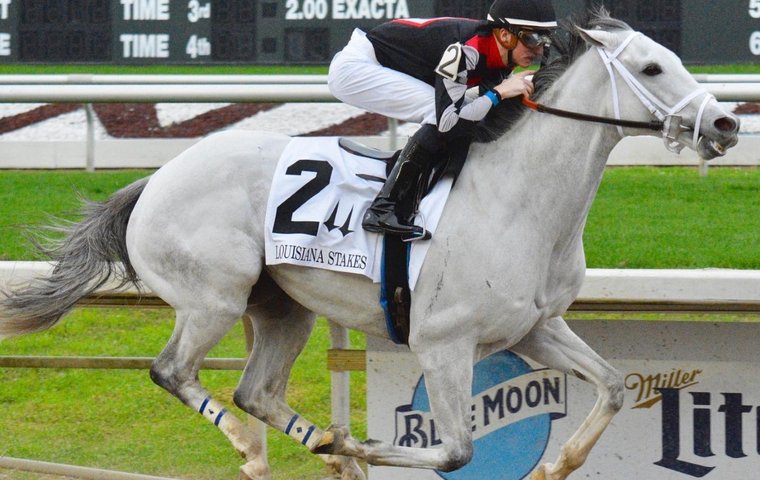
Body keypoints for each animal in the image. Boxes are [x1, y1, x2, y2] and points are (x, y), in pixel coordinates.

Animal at [0, 10, 736, 480]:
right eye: (652, 66)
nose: (726, 123)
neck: (521, 200)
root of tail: (154, 179)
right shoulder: (443, 342)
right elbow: (456, 451)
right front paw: (372, 447)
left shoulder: (535, 327)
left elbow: (612, 386)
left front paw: (555, 465)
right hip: (213, 298)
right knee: (173, 371)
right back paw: (259, 446)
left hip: (282, 307)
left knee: (255, 391)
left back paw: (327, 445)